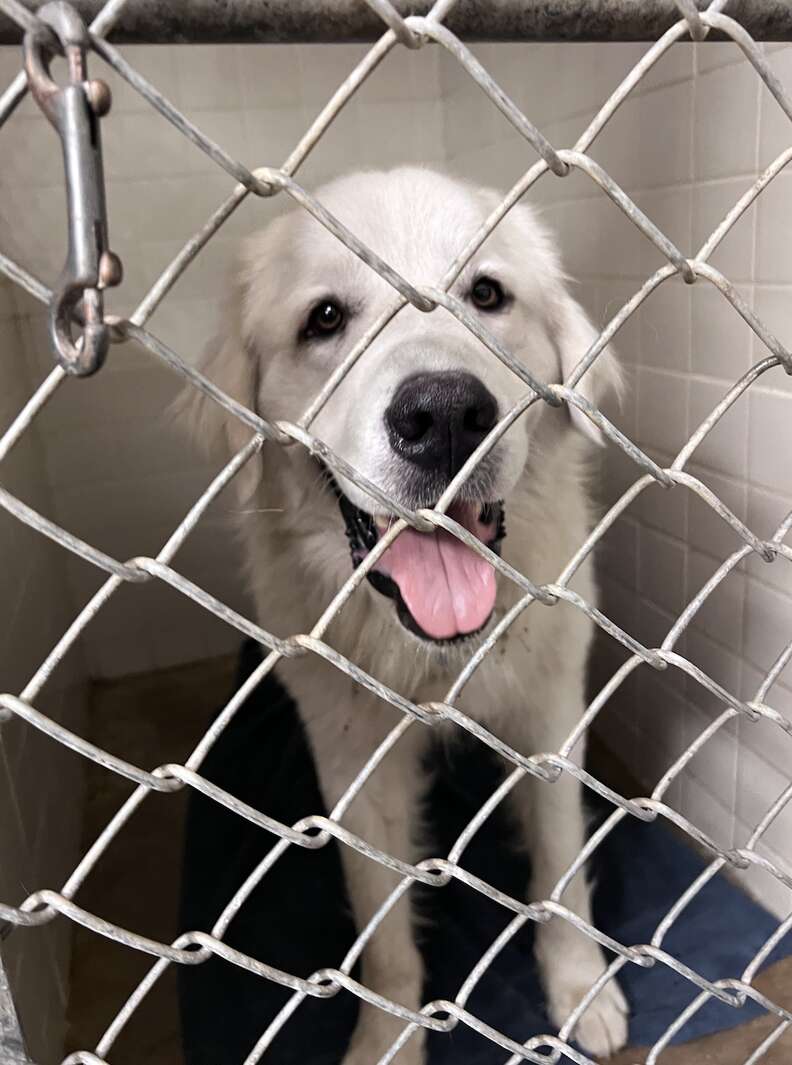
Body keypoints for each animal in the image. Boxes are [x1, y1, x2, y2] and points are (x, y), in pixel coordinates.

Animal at [184, 164, 625, 1056]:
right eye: (324, 318)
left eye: (487, 294)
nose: (447, 415)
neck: (434, 652)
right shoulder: (352, 757)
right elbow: (382, 921)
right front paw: (389, 1033)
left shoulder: (552, 711)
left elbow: (560, 861)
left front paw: (579, 986)